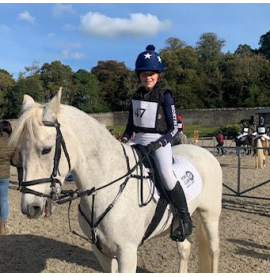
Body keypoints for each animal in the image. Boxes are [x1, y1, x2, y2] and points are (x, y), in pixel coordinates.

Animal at [10, 88, 221, 272]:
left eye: (46, 149)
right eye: (20, 150)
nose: (30, 207)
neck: (105, 185)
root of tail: (203, 151)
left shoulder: (127, 252)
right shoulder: (101, 251)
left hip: (210, 214)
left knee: (213, 250)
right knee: (184, 248)